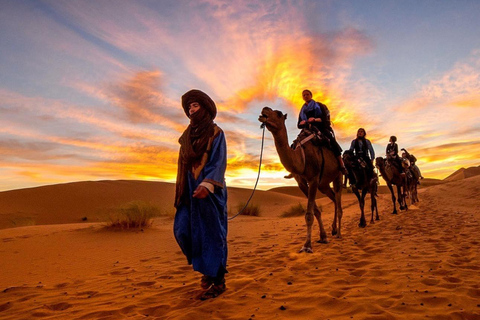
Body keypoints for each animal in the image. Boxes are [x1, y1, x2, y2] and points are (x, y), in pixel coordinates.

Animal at [256, 107, 344, 252]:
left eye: (278, 113)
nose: (264, 110)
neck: (301, 157)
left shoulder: (313, 179)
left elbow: (309, 215)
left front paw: (307, 245)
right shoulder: (301, 183)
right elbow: (316, 211)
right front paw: (323, 237)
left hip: (337, 175)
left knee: (338, 199)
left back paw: (339, 234)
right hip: (323, 185)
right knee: (334, 199)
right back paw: (333, 229)